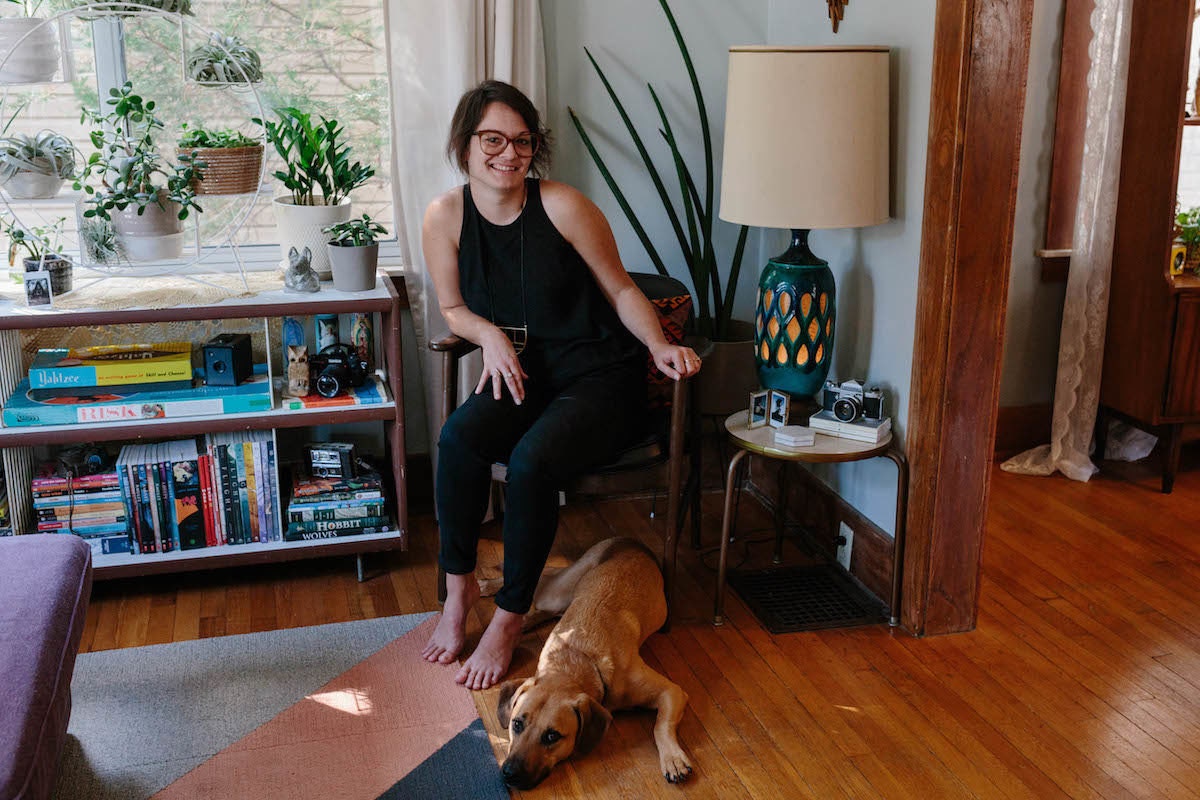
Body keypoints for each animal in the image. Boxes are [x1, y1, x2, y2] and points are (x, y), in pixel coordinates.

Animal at [489, 534, 696, 791]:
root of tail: (628, 540)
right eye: (516, 724)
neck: (576, 661)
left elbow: (661, 725)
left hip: (558, 594)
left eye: (552, 736)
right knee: (542, 583)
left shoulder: (671, 691)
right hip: (559, 591)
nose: (509, 773)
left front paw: (672, 758)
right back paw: (491, 588)